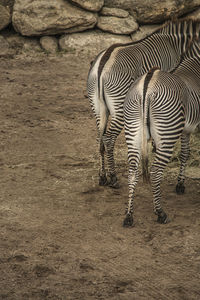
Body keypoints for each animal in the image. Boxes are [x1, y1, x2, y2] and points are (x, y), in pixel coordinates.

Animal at [87, 18, 200, 188]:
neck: (177, 44)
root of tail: (103, 63)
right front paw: (154, 146)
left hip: (97, 106)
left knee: (100, 138)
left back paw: (102, 177)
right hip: (119, 106)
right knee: (109, 138)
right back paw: (113, 178)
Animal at [123, 38, 200, 226]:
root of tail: (147, 83)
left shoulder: (185, 130)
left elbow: (185, 153)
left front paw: (180, 184)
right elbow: (186, 153)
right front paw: (180, 185)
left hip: (133, 128)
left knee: (133, 170)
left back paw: (129, 215)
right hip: (167, 131)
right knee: (156, 171)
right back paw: (160, 213)